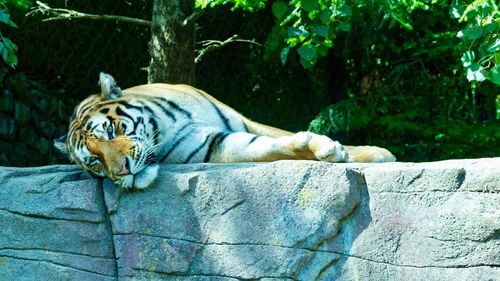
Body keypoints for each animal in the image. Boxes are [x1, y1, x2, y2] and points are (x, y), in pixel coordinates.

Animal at [54, 72, 396, 190]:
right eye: (95, 161)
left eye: (112, 130)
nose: (122, 171)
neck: (162, 128)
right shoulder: (213, 145)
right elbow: (266, 146)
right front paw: (325, 148)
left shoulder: (242, 123)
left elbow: (275, 134)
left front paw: (373, 152)